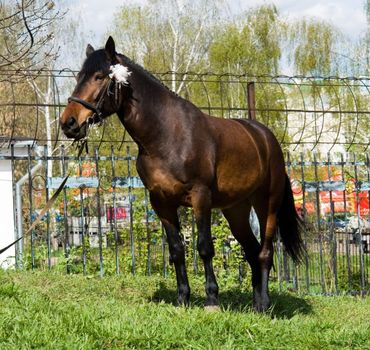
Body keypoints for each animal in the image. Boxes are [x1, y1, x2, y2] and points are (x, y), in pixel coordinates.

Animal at [60, 36, 304, 312]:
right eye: (79, 76)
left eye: (99, 76)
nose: (68, 122)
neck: (168, 135)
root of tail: (265, 138)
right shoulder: (161, 202)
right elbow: (177, 249)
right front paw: (182, 299)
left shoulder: (201, 197)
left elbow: (205, 247)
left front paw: (211, 299)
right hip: (236, 210)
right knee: (252, 251)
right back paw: (256, 303)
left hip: (268, 204)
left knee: (265, 251)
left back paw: (264, 305)